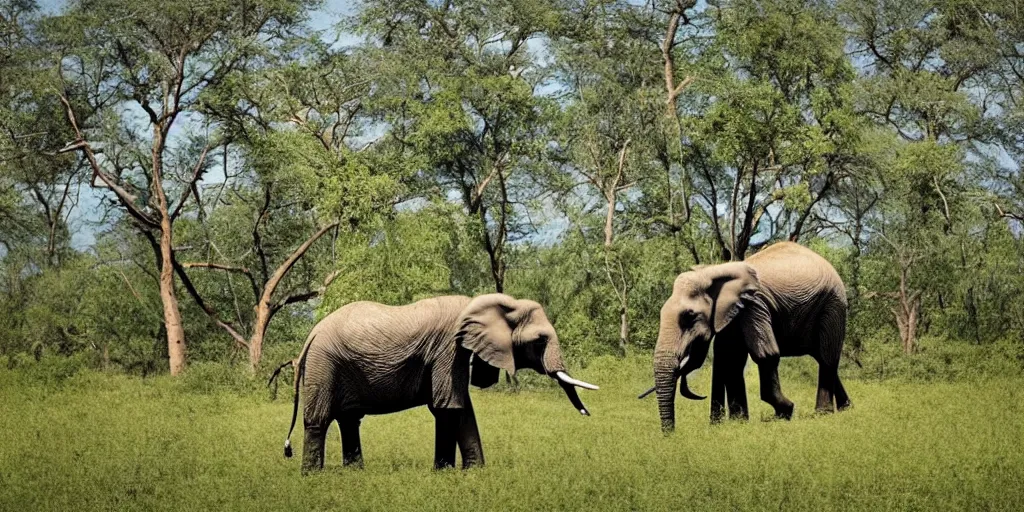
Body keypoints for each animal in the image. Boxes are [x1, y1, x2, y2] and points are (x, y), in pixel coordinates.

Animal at [280, 292, 598, 471]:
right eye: (540, 340)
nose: (588, 413)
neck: (480, 304)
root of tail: (312, 334)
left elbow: (463, 409)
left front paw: (475, 474)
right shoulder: (448, 347)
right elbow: (448, 408)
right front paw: (444, 473)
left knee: (349, 420)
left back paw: (355, 473)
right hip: (324, 364)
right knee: (319, 420)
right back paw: (313, 476)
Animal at [643, 241, 851, 430]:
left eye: (689, 316)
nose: (669, 435)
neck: (712, 272)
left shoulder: (754, 304)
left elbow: (766, 355)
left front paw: (784, 413)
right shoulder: (732, 313)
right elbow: (730, 359)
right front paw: (738, 423)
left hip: (833, 305)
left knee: (827, 357)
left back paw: (822, 414)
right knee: (821, 356)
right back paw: (846, 408)